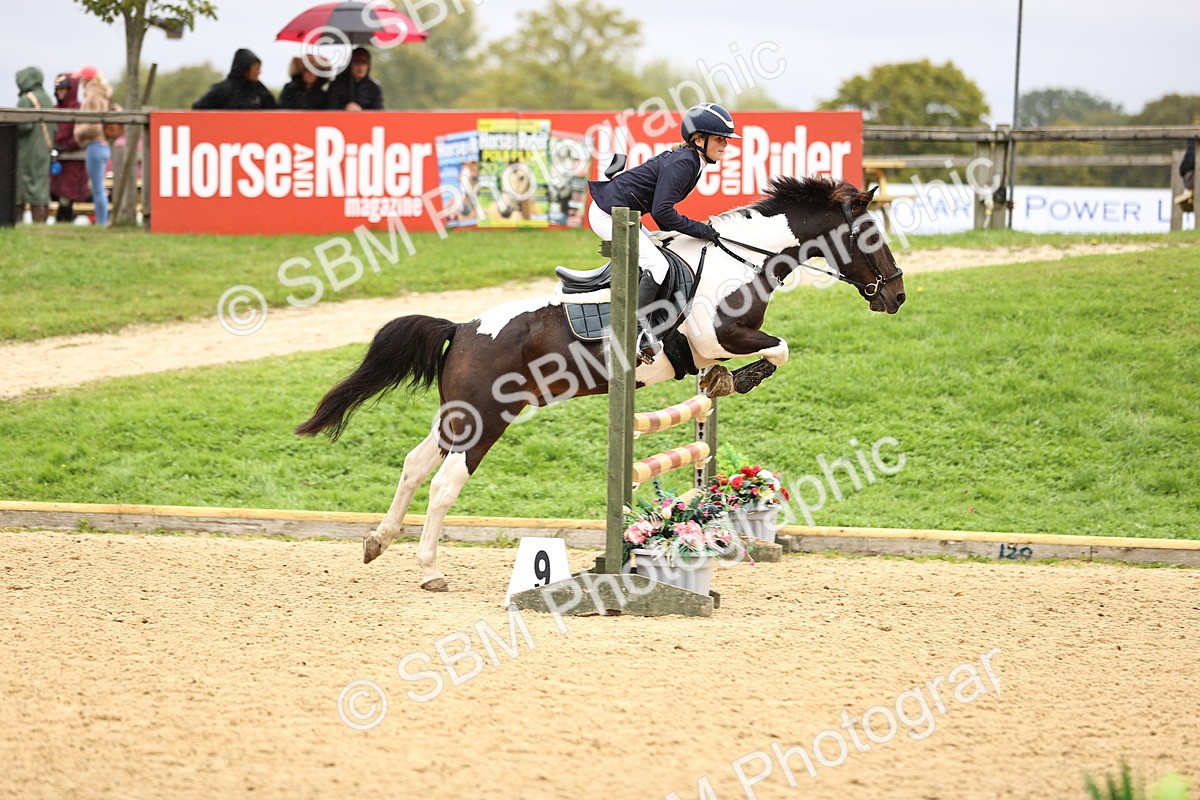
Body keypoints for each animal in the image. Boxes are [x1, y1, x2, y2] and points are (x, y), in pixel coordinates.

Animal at [295, 175, 906, 591]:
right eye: (869, 234)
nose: (897, 296)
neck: (742, 261)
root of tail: (462, 326)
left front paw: (720, 383)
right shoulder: (720, 334)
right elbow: (778, 348)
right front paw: (737, 379)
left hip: (459, 416)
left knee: (415, 464)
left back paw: (378, 540)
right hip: (487, 418)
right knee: (445, 483)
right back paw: (429, 570)